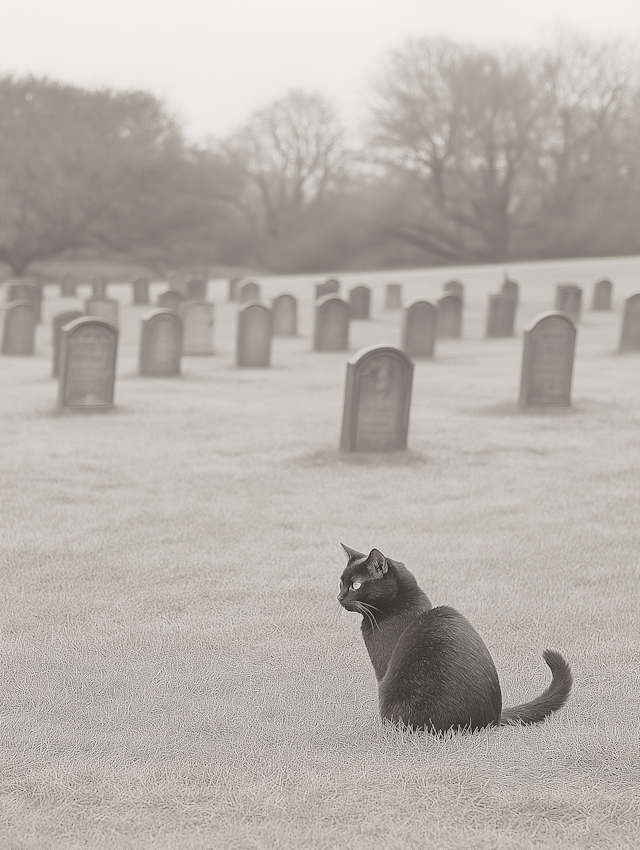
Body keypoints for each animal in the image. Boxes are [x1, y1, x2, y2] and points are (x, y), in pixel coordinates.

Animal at [338, 548, 572, 732]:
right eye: (341, 582)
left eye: (356, 585)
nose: (339, 596)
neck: (400, 605)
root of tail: (490, 720)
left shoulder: (383, 668)